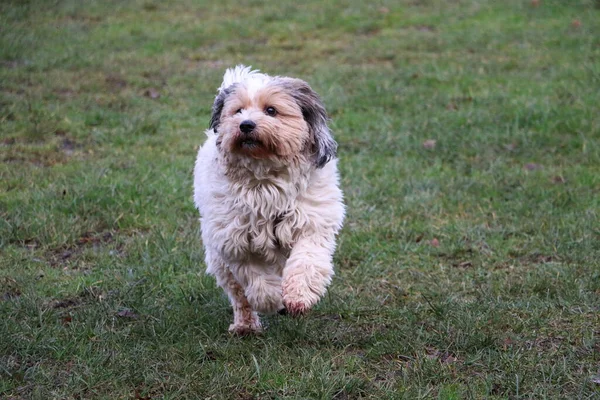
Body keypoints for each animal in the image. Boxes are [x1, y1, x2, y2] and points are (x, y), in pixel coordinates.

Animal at [192, 65, 342, 334]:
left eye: (271, 110)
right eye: (238, 110)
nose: (245, 125)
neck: (265, 179)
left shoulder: (312, 223)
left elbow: (306, 262)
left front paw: (298, 297)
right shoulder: (235, 242)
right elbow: (256, 281)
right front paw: (272, 301)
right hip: (219, 261)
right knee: (239, 296)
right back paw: (246, 326)